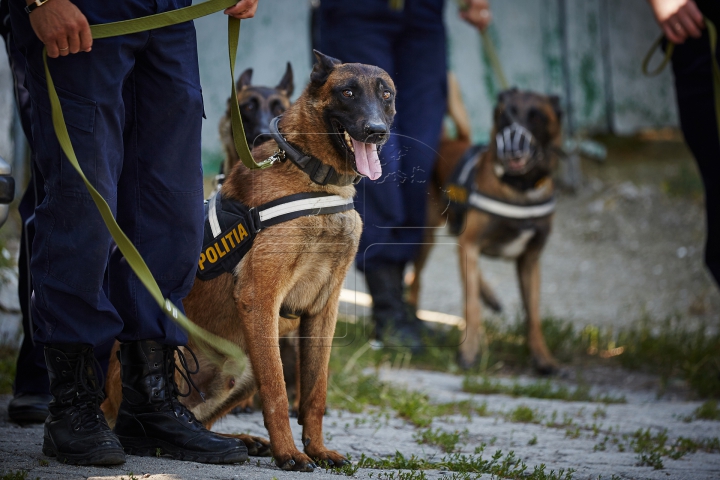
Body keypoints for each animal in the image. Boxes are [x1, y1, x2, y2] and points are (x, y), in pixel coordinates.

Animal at [102, 50, 394, 470]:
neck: (313, 176)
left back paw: (234, 440)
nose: (375, 132)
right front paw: (289, 453)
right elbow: (277, 391)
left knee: (204, 418)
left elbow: (314, 391)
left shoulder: (323, 310)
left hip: (243, 368)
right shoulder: (261, 299)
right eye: (348, 92)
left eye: (386, 95)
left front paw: (317, 449)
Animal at [410, 89, 564, 376]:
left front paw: (543, 358)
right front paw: (469, 352)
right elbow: (471, 307)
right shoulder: (471, 244)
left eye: (536, 117)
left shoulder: (530, 260)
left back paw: (489, 295)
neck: (519, 188)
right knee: (415, 279)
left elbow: (533, 315)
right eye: (504, 115)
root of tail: (447, 140)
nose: (511, 148)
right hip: (426, 237)